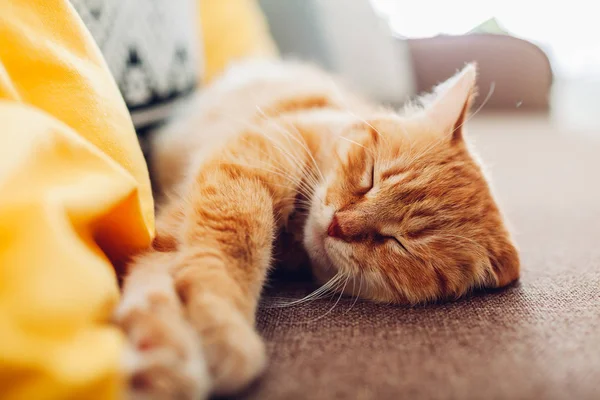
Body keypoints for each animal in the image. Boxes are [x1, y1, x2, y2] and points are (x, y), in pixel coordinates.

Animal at [116, 59, 520, 396]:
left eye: (397, 243)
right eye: (371, 177)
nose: (339, 224)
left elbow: (159, 284)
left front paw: (165, 351)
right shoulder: (251, 162)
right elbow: (227, 250)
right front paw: (217, 324)